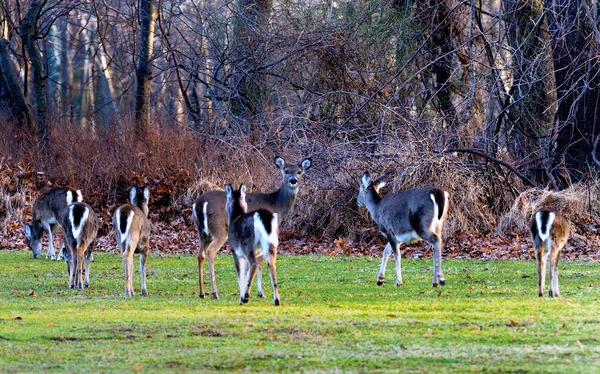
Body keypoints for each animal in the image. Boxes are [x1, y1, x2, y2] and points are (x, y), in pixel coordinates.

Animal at [193, 156, 314, 300]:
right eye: (286, 171)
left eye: (300, 172)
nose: (293, 180)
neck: (277, 206)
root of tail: (200, 203)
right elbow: (260, 260)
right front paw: (260, 292)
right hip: (219, 229)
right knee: (210, 251)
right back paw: (215, 293)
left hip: (202, 232)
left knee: (200, 254)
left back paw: (202, 293)